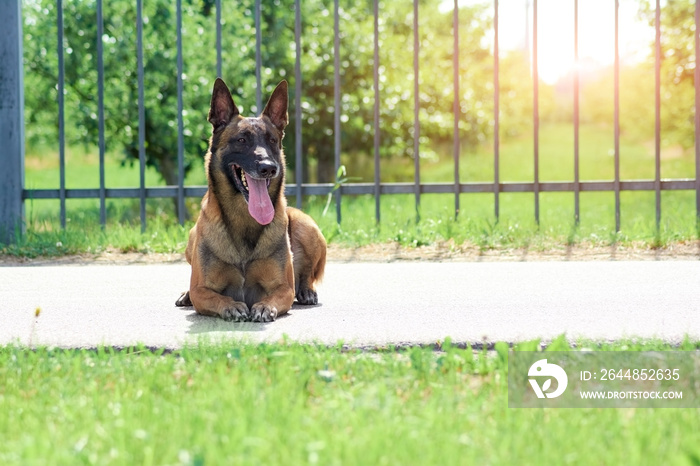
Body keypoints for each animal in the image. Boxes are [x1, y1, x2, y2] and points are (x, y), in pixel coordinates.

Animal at [175, 78, 328, 322]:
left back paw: (307, 291)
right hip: (191, 239)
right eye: (241, 140)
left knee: (307, 276)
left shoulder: (284, 288)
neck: (244, 219)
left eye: (272, 141)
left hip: (307, 226)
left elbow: (277, 294)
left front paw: (264, 307)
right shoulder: (202, 290)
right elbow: (214, 296)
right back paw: (185, 294)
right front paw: (231, 306)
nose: (268, 168)